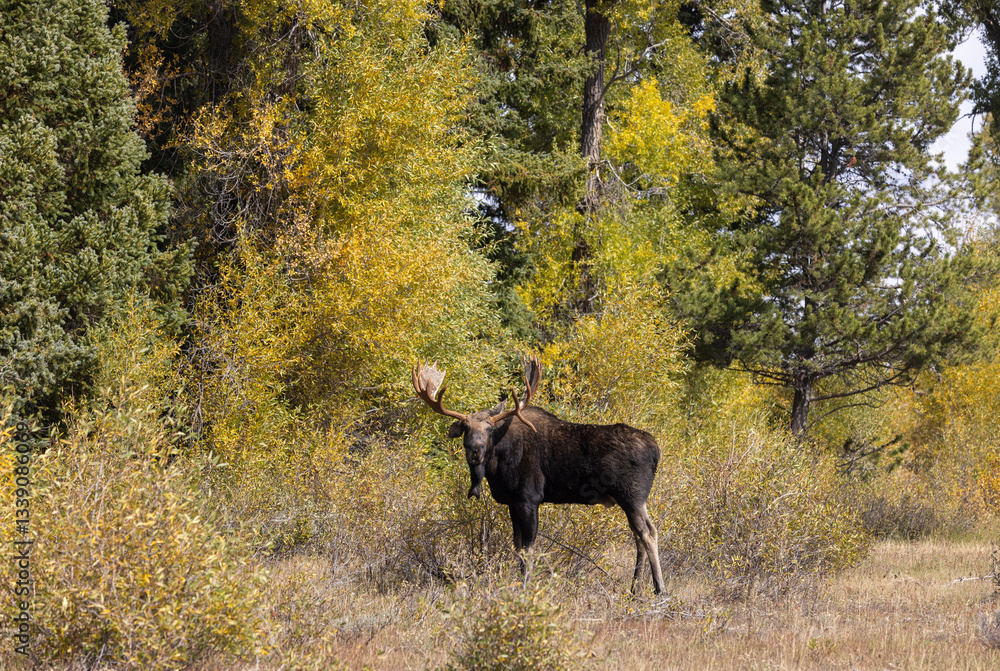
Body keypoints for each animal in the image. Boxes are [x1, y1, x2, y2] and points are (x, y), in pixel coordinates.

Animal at [412, 356, 665, 595]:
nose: (475, 451)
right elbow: (516, 546)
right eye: (465, 429)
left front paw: (527, 587)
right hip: (629, 500)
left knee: (648, 533)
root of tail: (656, 450)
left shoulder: (529, 499)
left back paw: (659, 588)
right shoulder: (512, 502)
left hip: (632, 496)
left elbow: (529, 550)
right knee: (639, 536)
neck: (496, 466)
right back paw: (634, 588)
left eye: (489, 429)